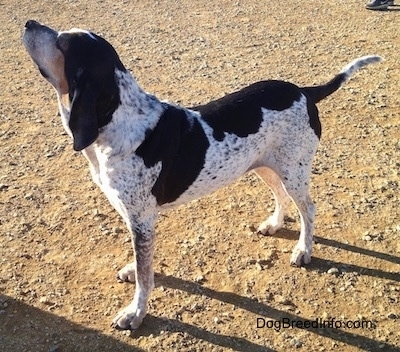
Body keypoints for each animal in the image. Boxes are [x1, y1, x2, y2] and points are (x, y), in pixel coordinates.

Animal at [22, 20, 382, 330]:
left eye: (62, 44)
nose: (29, 23)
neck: (118, 122)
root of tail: (305, 91)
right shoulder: (134, 217)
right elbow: (142, 263)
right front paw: (132, 273)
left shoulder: (142, 219)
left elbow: (146, 276)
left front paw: (135, 313)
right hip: (264, 165)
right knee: (281, 197)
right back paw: (274, 224)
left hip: (293, 169)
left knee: (308, 209)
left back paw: (303, 250)